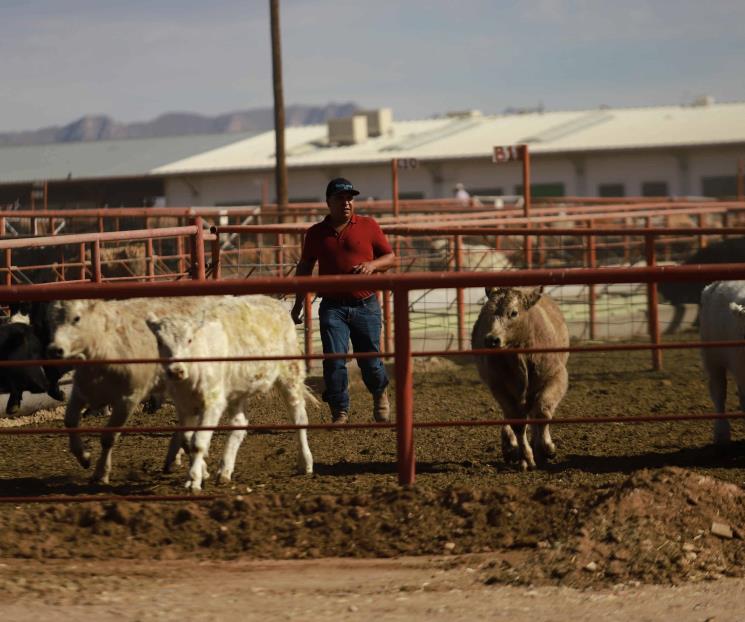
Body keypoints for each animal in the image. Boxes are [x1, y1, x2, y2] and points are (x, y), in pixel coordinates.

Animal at [147, 294, 316, 494]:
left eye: (189, 340)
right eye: (160, 342)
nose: (176, 370)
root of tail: (274, 303)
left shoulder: (213, 403)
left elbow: (198, 442)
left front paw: (194, 480)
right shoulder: (184, 406)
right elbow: (187, 440)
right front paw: (202, 472)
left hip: (290, 375)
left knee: (299, 418)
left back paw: (305, 462)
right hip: (238, 393)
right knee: (239, 424)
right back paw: (224, 471)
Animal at [470, 286, 568, 468]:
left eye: (513, 313)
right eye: (487, 312)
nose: (492, 339)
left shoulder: (557, 376)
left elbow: (542, 412)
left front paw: (546, 447)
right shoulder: (499, 388)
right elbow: (517, 423)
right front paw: (526, 457)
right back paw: (511, 446)